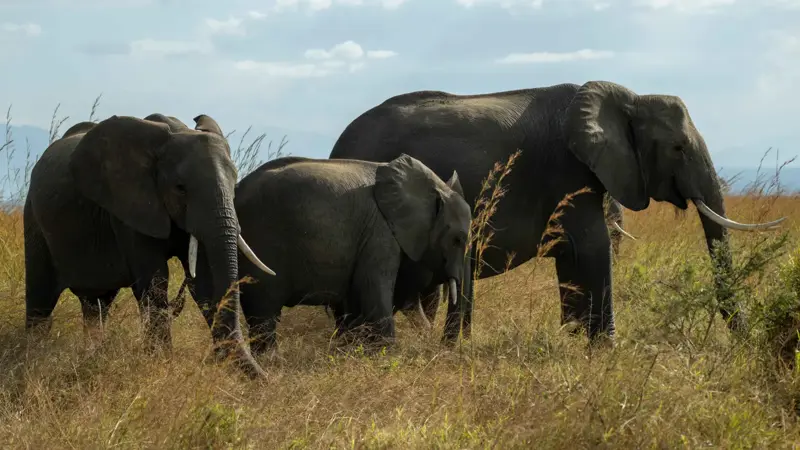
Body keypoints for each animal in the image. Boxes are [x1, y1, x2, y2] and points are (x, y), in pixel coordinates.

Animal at [22, 111, 278, 376]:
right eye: (180, 188)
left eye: (234, 183)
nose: (269, 377)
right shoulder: (130, 207)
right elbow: (155, 282)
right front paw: (162, 364)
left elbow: (204, 283)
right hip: (34, 219)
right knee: (40, 300)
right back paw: (33, 361)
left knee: (96, 304)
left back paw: (91, 357)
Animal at [185, 155, 476, 356]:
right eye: (458, 239)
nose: (442, 348)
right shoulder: (380, 234)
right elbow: (376, 292)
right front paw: (388, 356)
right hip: (262, 243)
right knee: (263, 313)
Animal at [328, 79, 784, 342]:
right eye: (677, 148)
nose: (744, 343)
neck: (629, 98)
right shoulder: (568, 169)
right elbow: (592, 247)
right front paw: (604, 350)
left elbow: (574, 254)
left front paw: (574, 336)